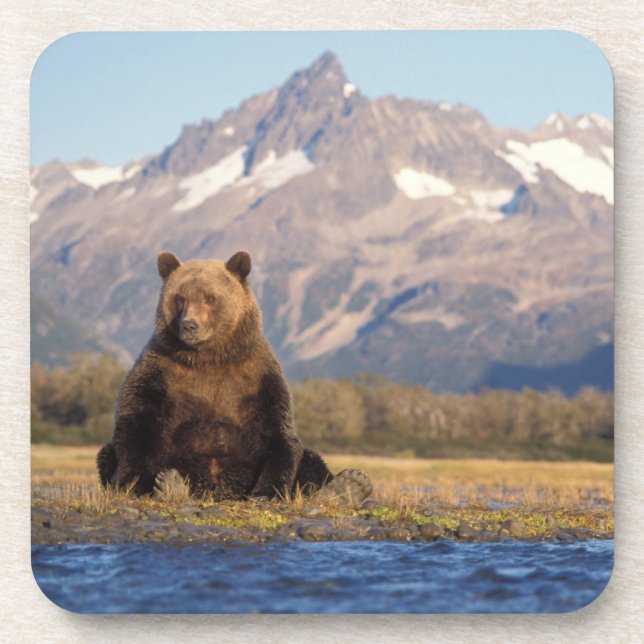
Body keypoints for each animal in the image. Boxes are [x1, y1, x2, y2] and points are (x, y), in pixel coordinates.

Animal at [97, 250, 371, 505]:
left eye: (210, 297)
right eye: (180, 298)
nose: (190, 325)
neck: (208, 358)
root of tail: (220, 492)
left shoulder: (257, 378)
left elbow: (277, 433)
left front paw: (266, 493)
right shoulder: (160, 373)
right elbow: (136, 424)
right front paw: (134, 485)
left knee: (311, 459)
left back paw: (349, 485)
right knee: (106, 453)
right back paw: (171, 485)